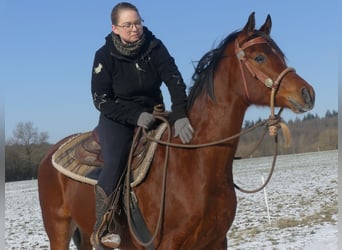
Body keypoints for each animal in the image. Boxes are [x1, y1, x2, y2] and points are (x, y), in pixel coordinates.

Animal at [38, 13, 316, 250]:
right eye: (259, 57)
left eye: (280, 55)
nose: (307, 93)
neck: (194, 162)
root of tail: (50, 154)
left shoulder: (216, 241)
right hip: (59, 231)